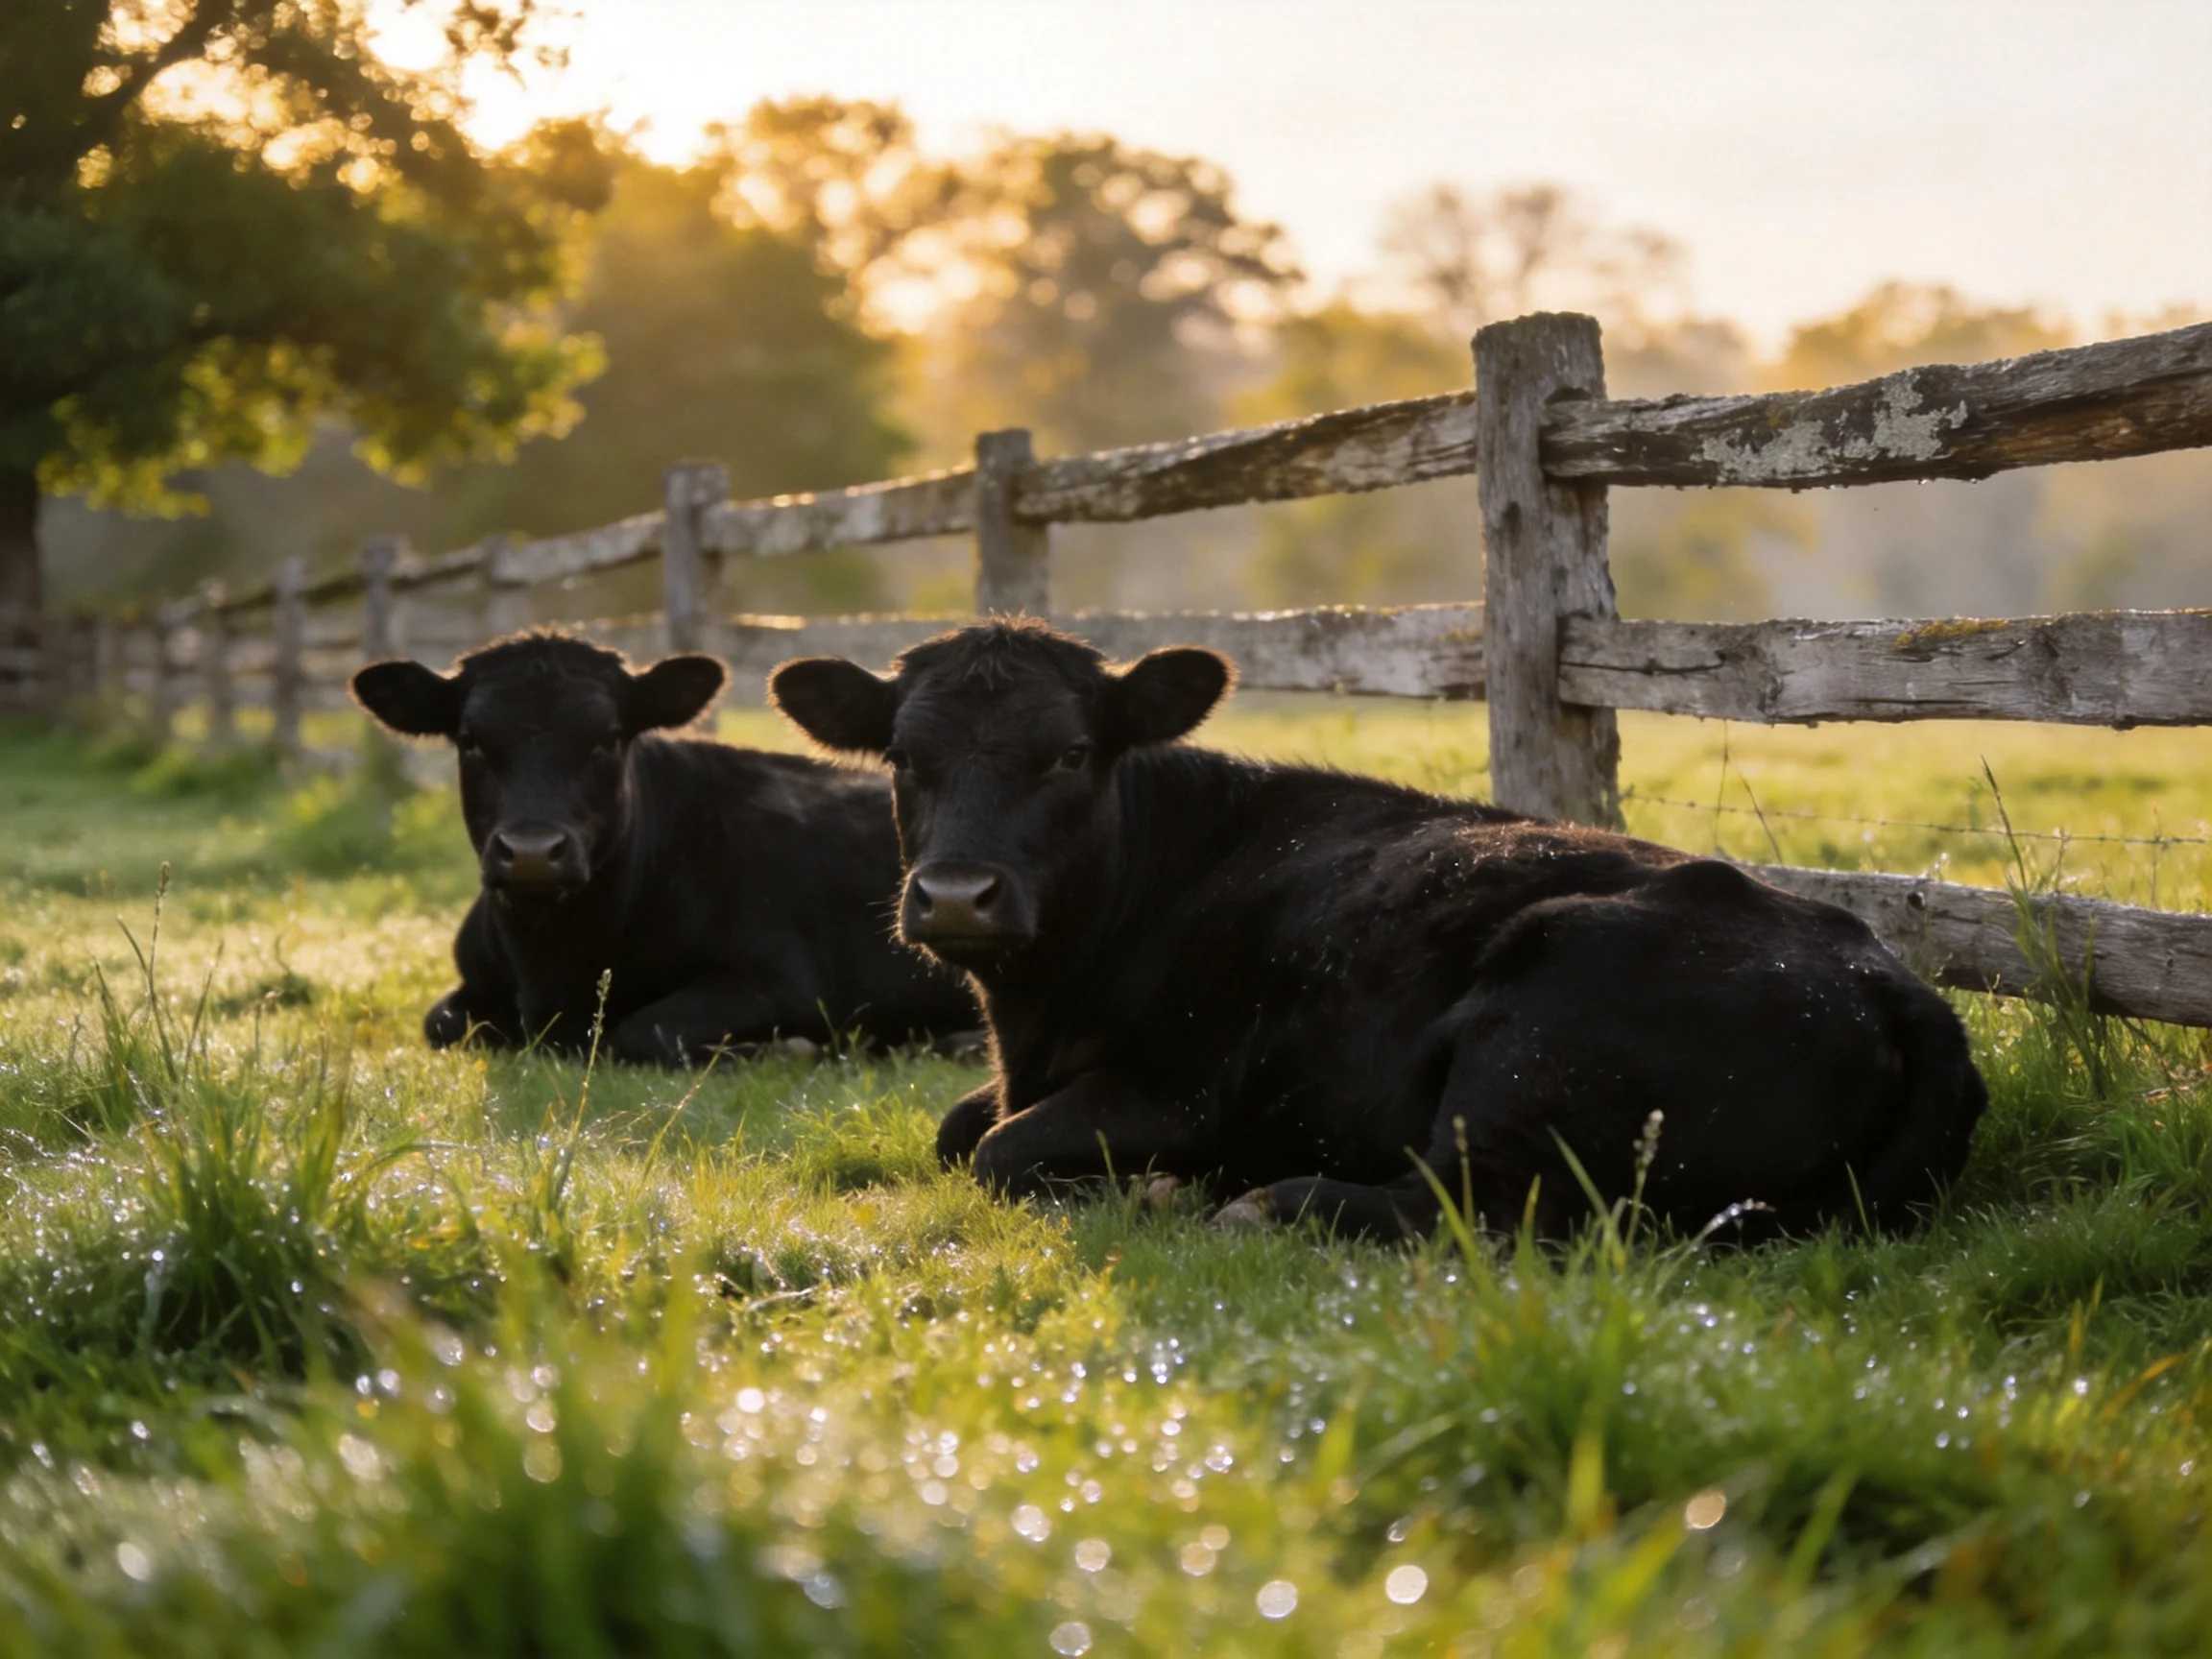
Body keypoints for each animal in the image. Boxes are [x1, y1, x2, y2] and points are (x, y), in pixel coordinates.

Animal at [351, 631, 976, 1065]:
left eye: (608, 738)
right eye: (470, 740)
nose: (531, 851)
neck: (551, 971)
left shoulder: (781, 979)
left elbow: (640, 1033)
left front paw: (779, 1050)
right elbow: (441, 1023)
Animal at [769, 618, 1987, 1243]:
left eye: (1069, 753)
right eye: (903, 757)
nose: (955, 895)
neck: (1036, 1014)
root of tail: (1885, 973)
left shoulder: (1178, 1089)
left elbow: (995, 1148)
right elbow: (956, 1124)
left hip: (1525, 1050)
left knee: (1481, 1212)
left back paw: (1249, 1199)